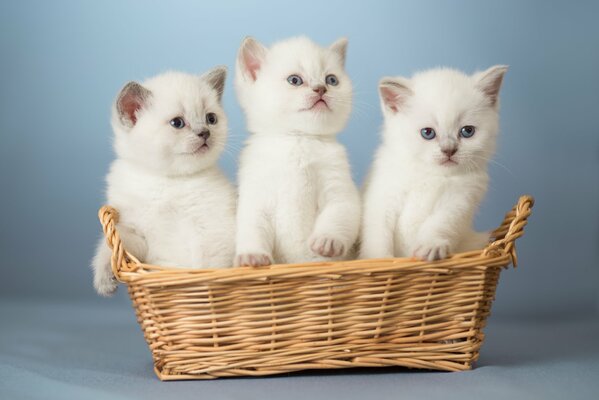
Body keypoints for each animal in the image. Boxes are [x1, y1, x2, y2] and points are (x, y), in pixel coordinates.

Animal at [91, 67, 237, 296]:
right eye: (177, 123)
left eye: (211, 118)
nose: (205, 132)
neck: (167, 181)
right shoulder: (135, 232)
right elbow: (112, 248)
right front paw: (105, 279)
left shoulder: (214, 231)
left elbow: (208, 269)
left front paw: (201, 293)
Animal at [234, 35, 360, 266]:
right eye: (295, 80)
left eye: (332, 80)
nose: (321, 88)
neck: (299, 139)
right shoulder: (255, 197)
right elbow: (252, 227)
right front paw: (252, 255)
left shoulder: (340, 189)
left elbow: (340, 213)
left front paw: (328, 241)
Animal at [358, 66, 508, 260]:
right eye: (427, 133)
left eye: (467, 131)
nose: (449, 150)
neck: (431, 174)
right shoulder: (383, 195)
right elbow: (378, 230)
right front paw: (379, 259)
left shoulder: (460, 200)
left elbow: (442, 222)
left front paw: (431, 246)